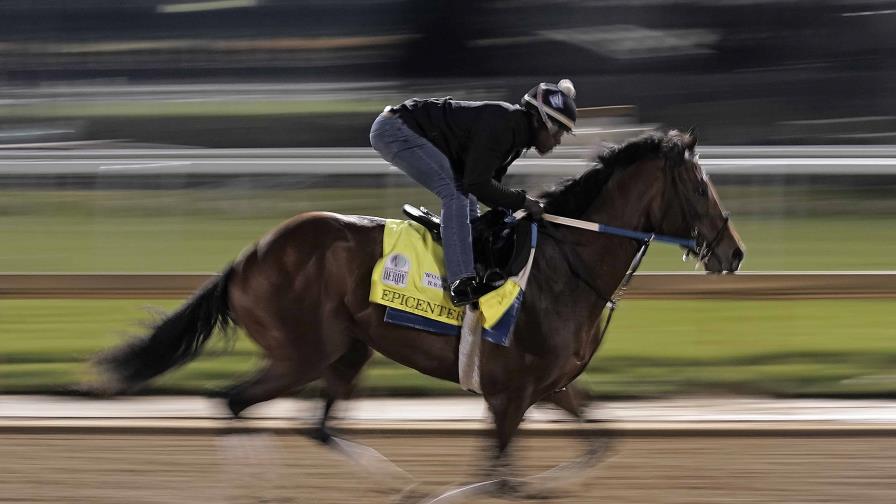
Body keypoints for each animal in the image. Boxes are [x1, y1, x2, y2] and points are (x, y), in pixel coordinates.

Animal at [96, 130, 744, 492]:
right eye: (701, 187)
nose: (734, 252)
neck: (566, 263)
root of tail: (248, 256)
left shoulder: (551, 387)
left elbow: (596, 445)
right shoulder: (509, 396)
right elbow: (499, 479)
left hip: (347, 350)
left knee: (317, 427)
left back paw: (400, 484)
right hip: (303, 352)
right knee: (232, 402)